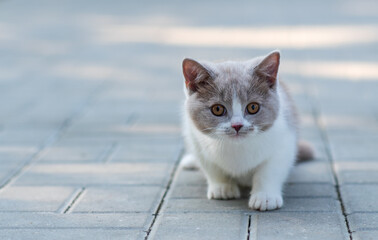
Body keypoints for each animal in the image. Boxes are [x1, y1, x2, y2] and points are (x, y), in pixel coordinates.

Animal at [180, 50, 314, 210]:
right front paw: (222, 187)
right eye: (217, 109)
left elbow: (270, 170)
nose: (237, 125)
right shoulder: (195, 138)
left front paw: (265, 197)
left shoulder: (284, 140)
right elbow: (212, 167)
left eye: (253, 107)